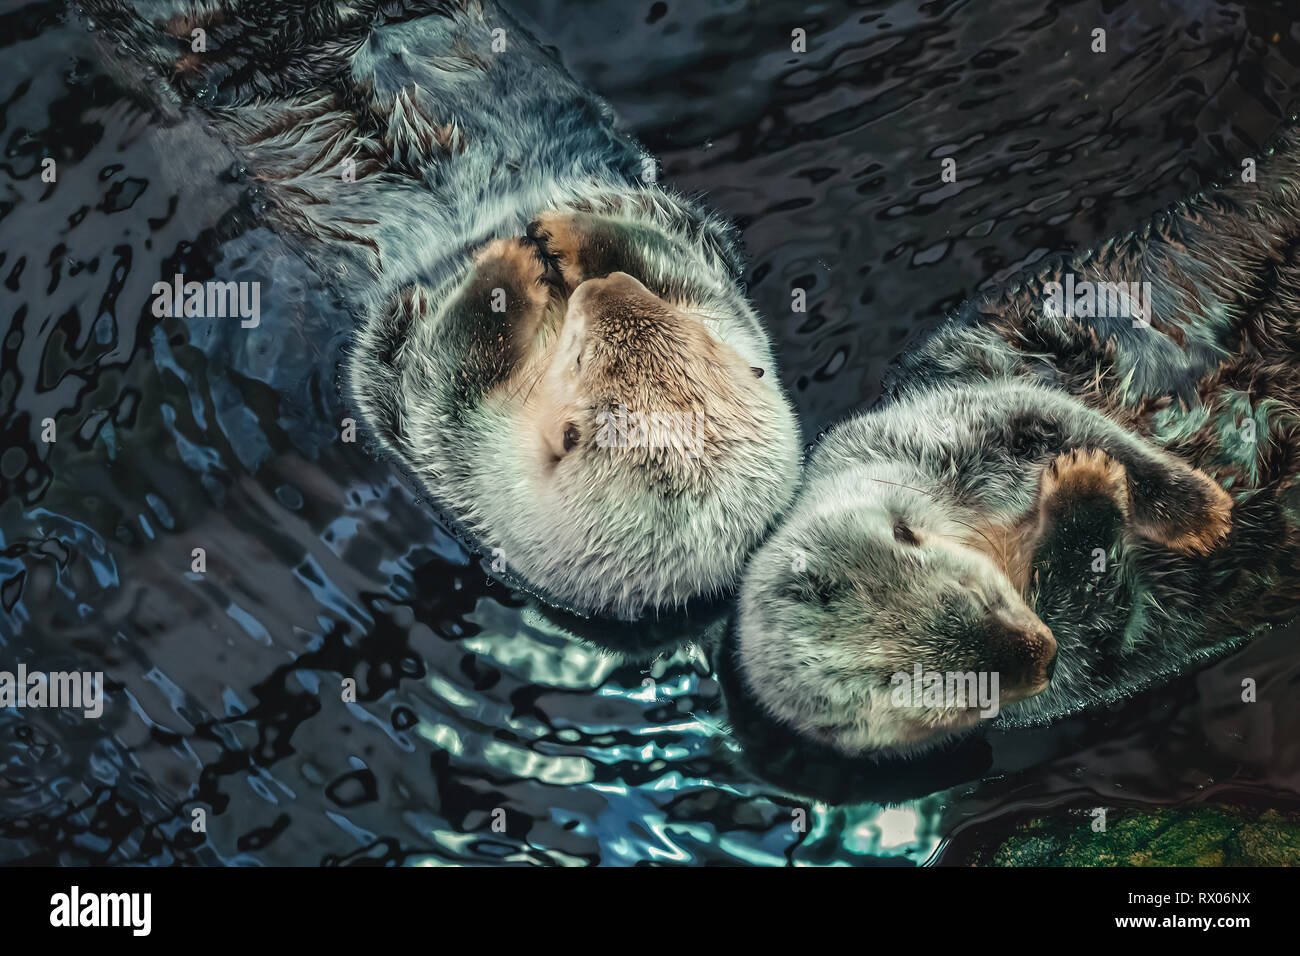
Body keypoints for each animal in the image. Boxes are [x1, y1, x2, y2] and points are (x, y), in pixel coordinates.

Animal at [85, 0, 802, 634]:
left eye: (579, 357)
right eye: (700, 342)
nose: (600, 288)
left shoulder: (451, 443)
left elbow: (439, 365)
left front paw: (512, 259)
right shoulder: (711, 280)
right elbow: (672, 248)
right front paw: (565, 232)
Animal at [731, 122, 1300, 766]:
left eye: (976, 594)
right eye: (957, 699)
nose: (1039, 655)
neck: (999, 535)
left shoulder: (947, 425)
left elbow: (1059, 420)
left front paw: (1197, 511)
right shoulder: (1071, 681)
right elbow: (1099, 622)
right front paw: (1086, 488)